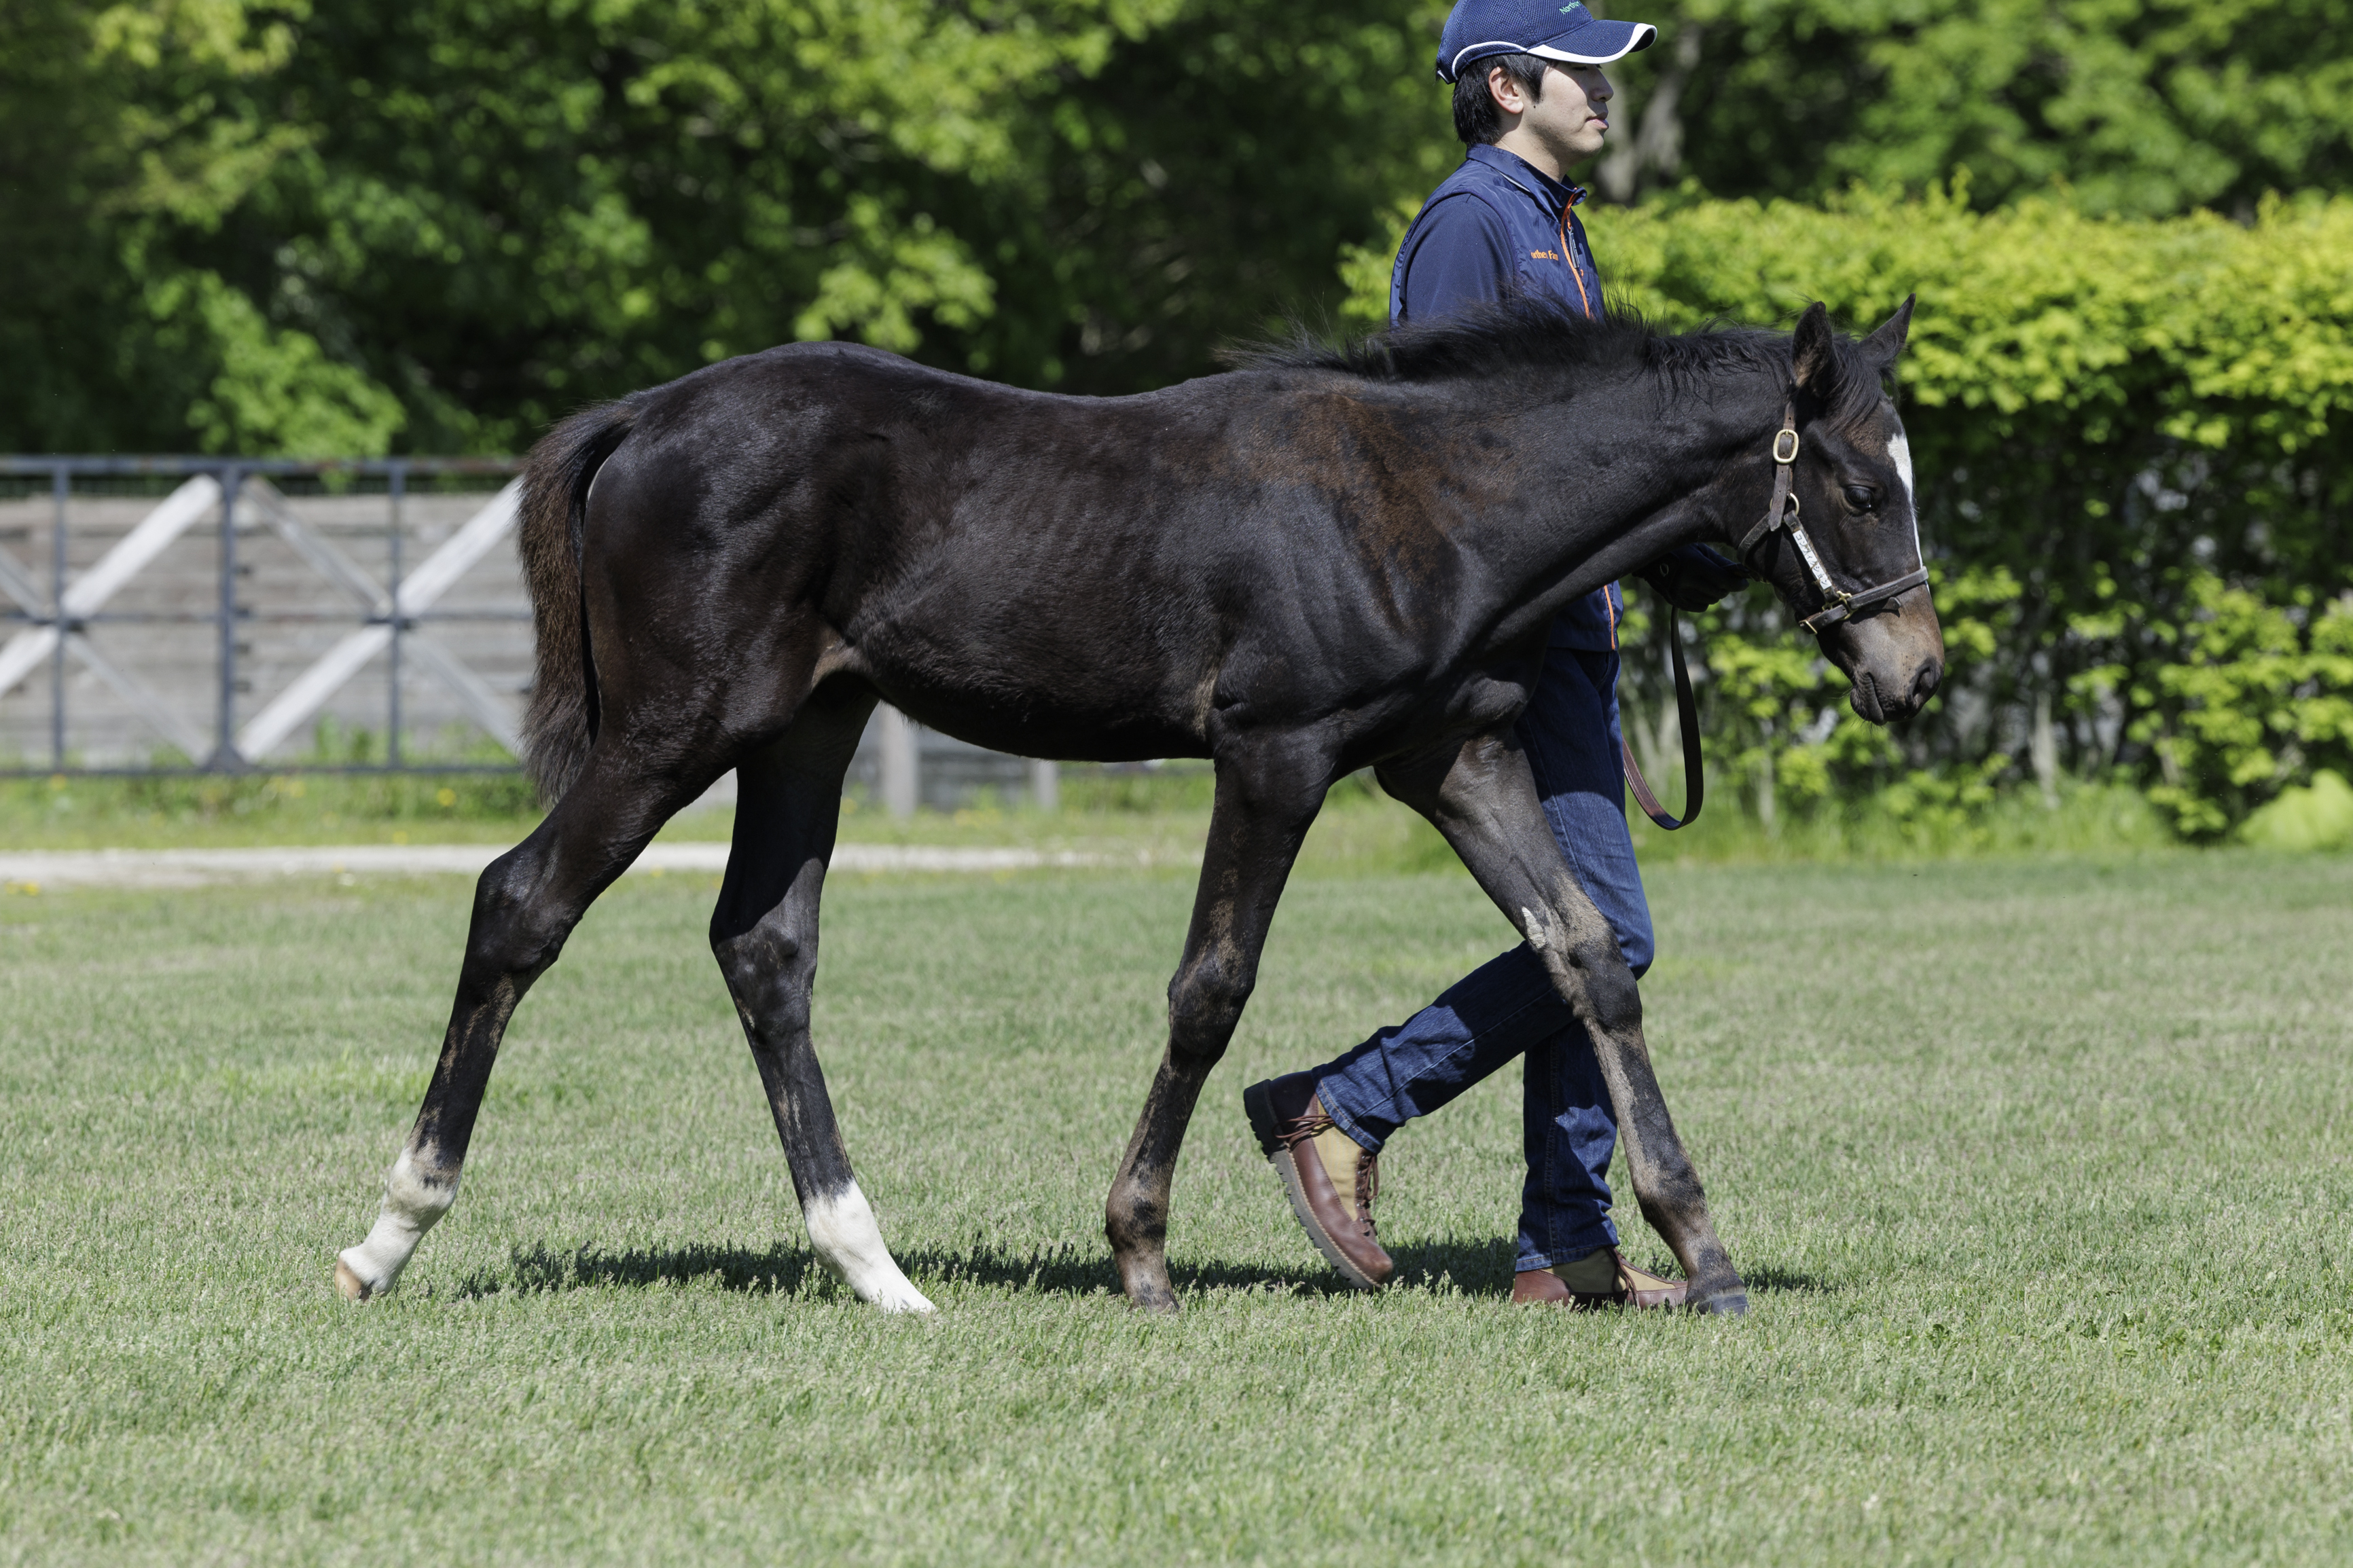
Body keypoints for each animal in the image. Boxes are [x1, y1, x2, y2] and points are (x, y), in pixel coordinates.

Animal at [336, 293, 1948, 1316]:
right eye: (1862, 485)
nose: (1914, 671)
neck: (1421, 500)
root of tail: (640, 418)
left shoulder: (1456, 756)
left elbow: (1586, 957)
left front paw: (1702, 1245)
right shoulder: (1275, 755)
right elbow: (1210, 988)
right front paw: (1141, 1251)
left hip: (804, 730)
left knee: (764, 949)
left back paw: (875, 1269)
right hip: (680, 729)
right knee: (522, 902)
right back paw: (389, 1233)